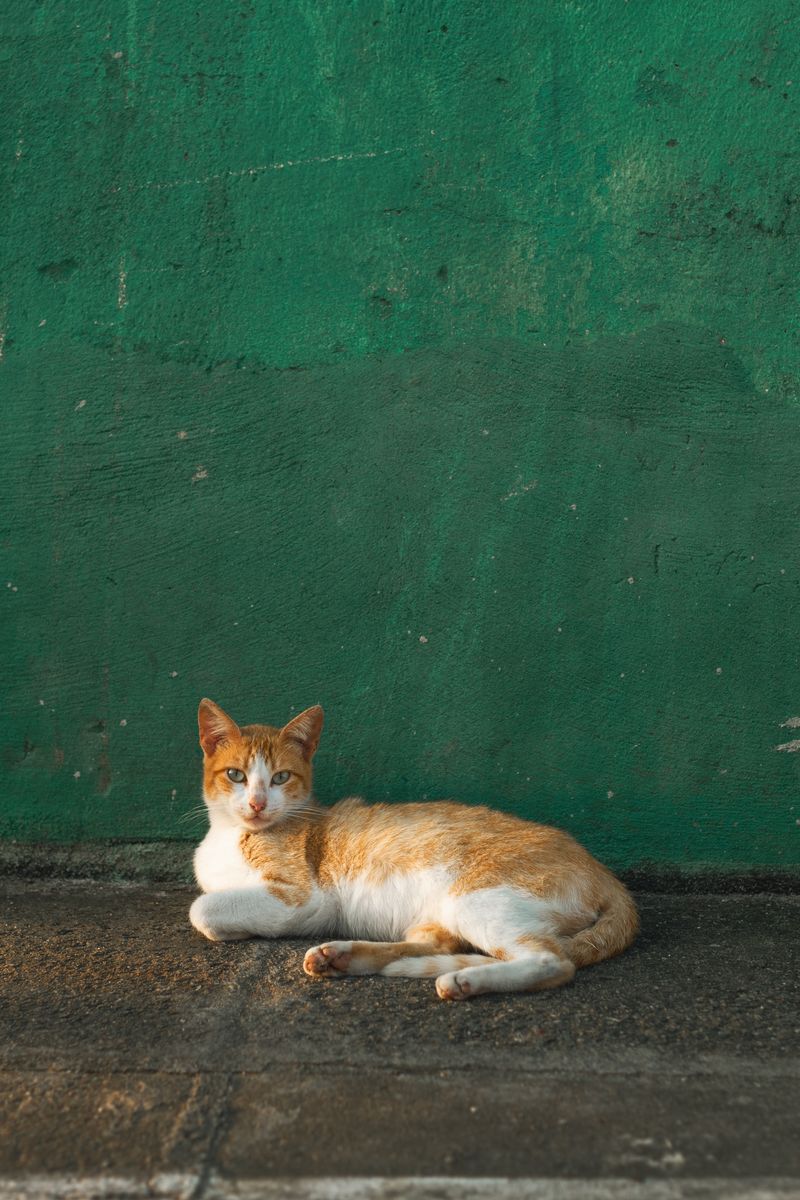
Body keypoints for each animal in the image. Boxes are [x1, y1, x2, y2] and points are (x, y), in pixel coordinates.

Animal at [188, 700, 638, 998]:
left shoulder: (303, 899)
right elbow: (210, 902)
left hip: (477, 897)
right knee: (444, 946)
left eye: (280, 777)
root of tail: (606, 875)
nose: (258, 803)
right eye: (236, 775)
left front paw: (234, 927)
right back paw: (342, 956)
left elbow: (202, 909)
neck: (231, 835)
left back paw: (465, 981)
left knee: (553, 960)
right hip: (443, 915)